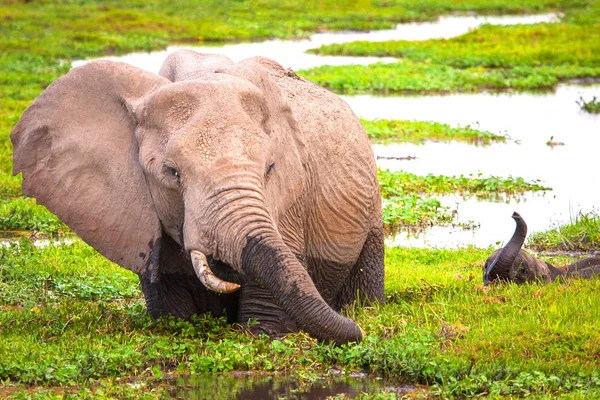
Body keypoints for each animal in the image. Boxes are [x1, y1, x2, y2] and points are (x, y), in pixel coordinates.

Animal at [10, 49, 384, 344]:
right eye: (171, 172)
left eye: (270, 168)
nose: (360, 333)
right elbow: (169, 301)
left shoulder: (288, 200)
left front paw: (263, 333)